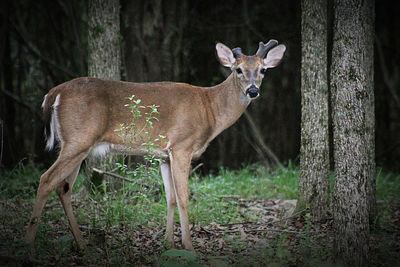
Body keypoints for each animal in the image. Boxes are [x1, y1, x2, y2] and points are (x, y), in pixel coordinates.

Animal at [25, 40, 284, 253]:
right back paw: (30, 246)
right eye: (237, 69)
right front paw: (189, 246)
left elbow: (169, 198)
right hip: (78, 139)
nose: (253, 90)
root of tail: (54, 93)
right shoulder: (182, 146)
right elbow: (183, 197)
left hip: (78, 145)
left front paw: (168, 243)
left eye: (263, 70)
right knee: (46, 180)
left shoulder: (164, 155)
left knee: (63, 187)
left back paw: (81, 245)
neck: (209, 109)